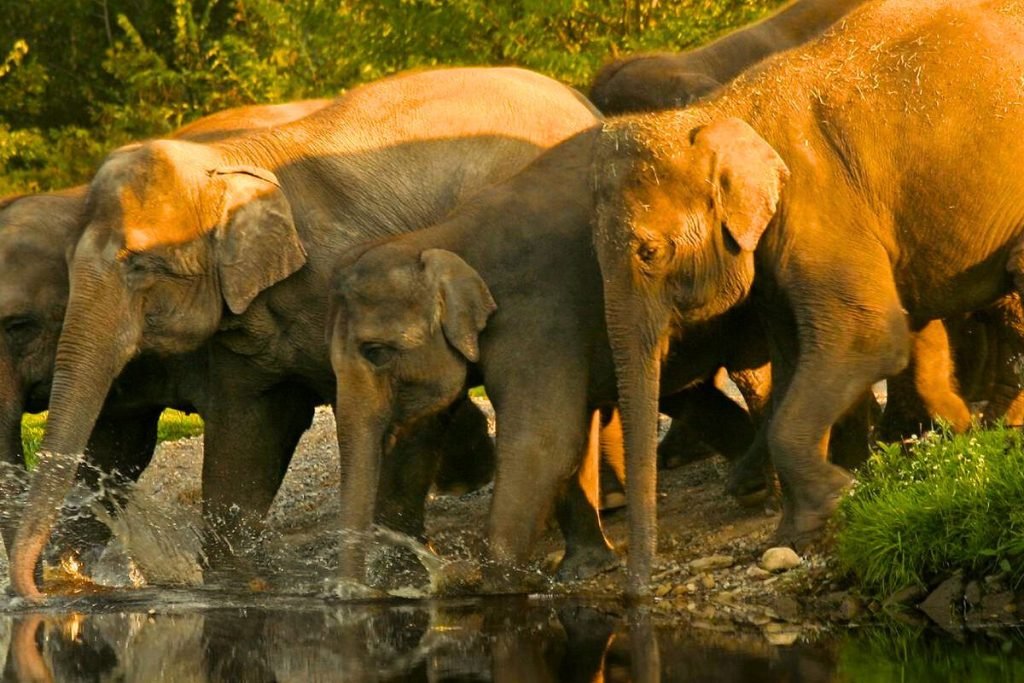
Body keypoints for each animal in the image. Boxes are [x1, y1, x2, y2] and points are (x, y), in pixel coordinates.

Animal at [10, 67, 601, 599]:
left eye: (138, 265)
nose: (37, 595)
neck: (236, 162)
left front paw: (392, 581)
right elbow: (247, 433)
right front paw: (237, 585)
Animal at [327, 127, 770, 587]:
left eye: (375, 352)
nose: (347, 592)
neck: (440, 235)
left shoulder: (541, 314)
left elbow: (542, 441)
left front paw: (493, 584)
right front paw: (584, 570)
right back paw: (753, 481)